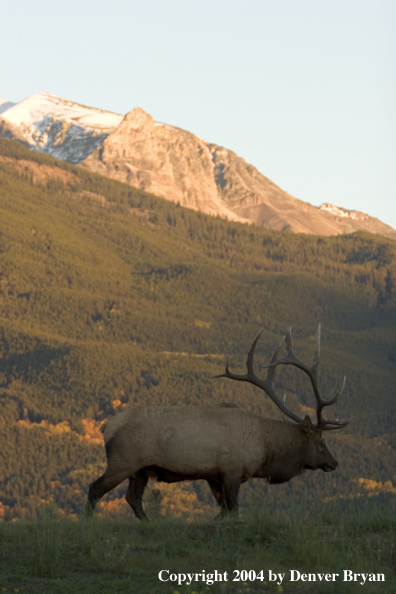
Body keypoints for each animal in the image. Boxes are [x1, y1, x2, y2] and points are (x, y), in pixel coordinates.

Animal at [86, 324, 346, 520]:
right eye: (321, 442)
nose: (334, 462)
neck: (265, 449)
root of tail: (106, 427)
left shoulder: (213, 476)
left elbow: (223, 510)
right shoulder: (231, 471)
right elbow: (233, 509)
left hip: (140, 469)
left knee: (133, 498)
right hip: (123, 461)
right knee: (95, 488)